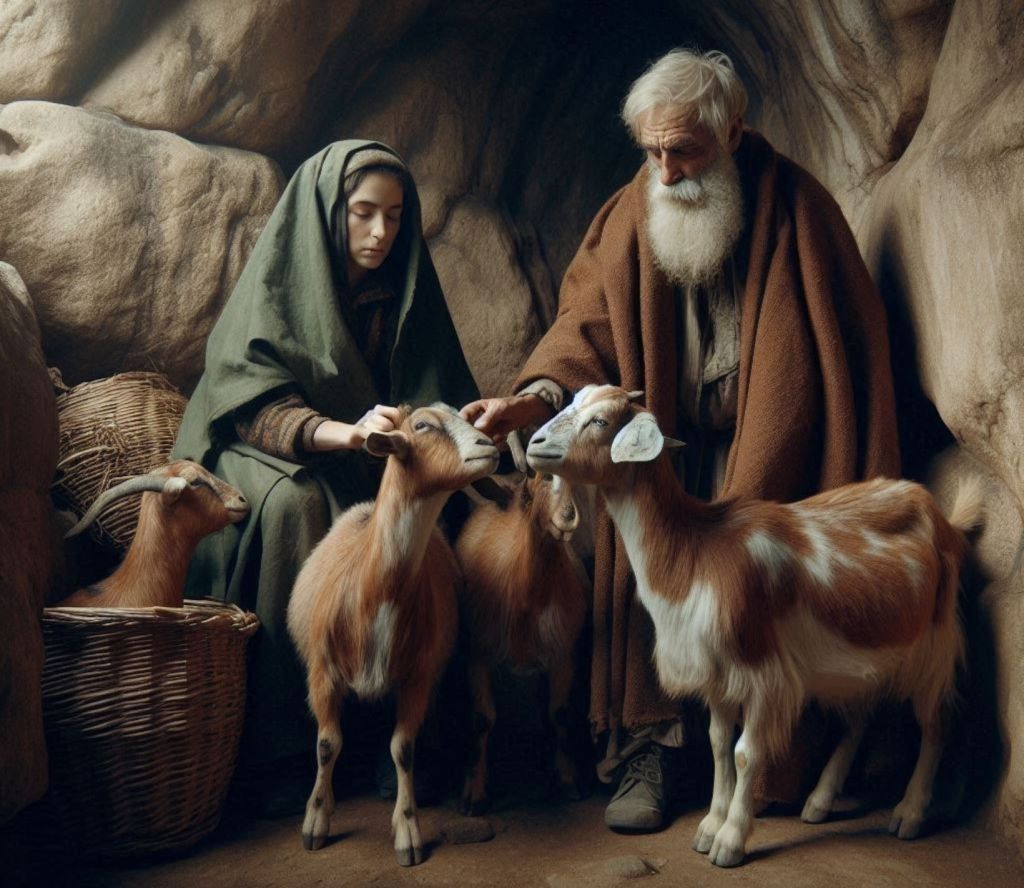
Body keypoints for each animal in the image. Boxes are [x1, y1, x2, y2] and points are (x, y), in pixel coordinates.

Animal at [284, 403, 499, 868]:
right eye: (423, 425)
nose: (488, 446)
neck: (374, 589)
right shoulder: (321, 672)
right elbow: (326, 744)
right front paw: (315, 821)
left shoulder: (418, 676)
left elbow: (403, 748)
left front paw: (408, 831)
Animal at [454, 473, 589, 811]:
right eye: (529, 494)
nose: (567, 516)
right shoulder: (478, 653)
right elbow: (482, 719)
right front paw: (474, 795)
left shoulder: (562, 655)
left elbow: (559, 714)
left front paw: (568, 781)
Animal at [528, 383, 983, 868]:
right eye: (574, 400)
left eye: (601, 421)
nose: (535, 444)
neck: (694, 551)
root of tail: (944, 521)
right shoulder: (716, 674)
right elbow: (717, 744)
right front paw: (710, 826)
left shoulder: (766, 673)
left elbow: (746, 754)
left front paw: (730, 840)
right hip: (863, 656)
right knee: (860, 718)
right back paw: (819, 801)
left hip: (934, 645)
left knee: (937, 723)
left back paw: (910, 813)